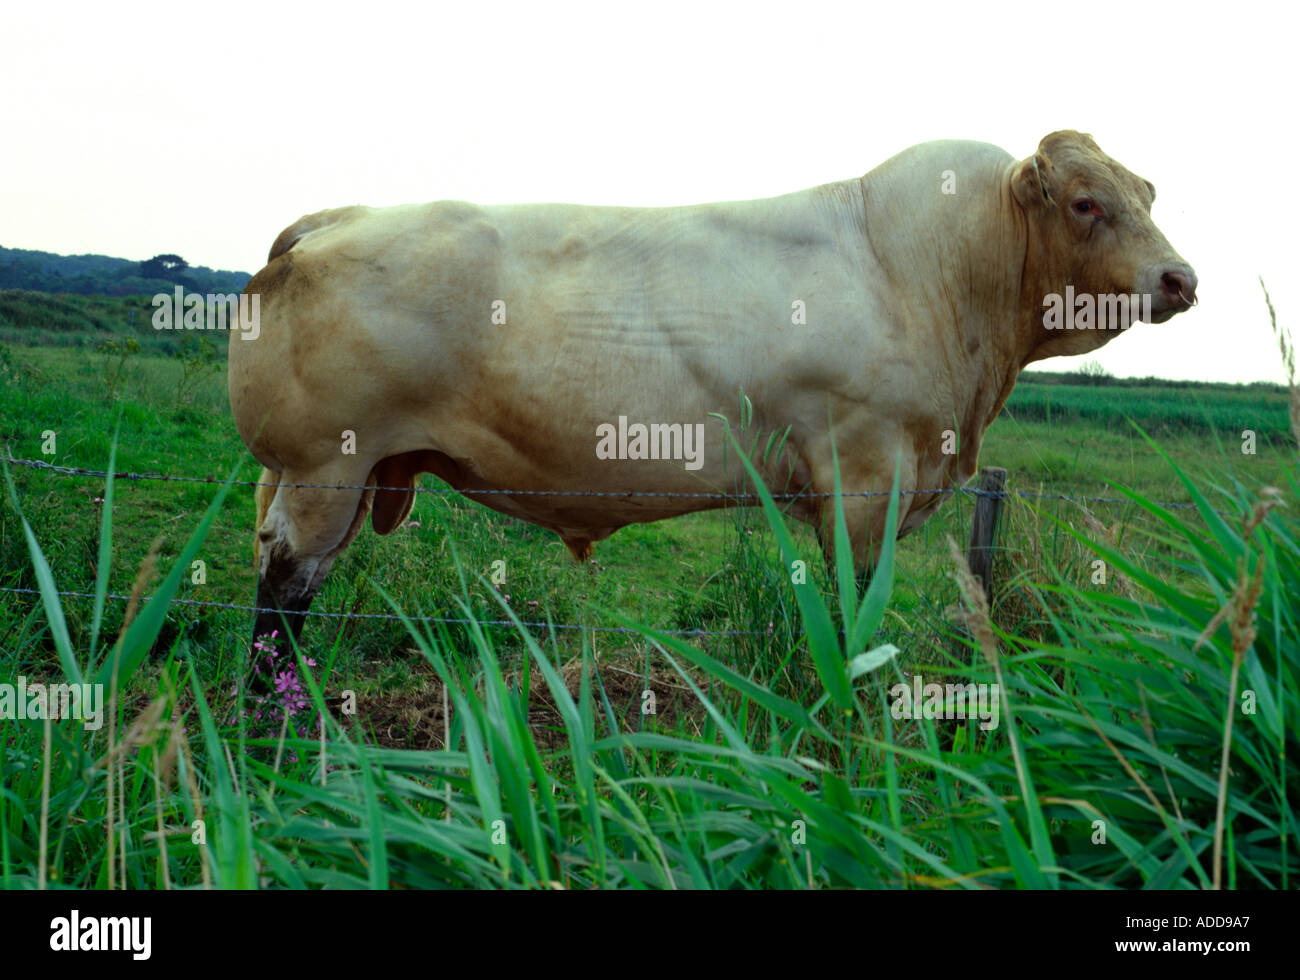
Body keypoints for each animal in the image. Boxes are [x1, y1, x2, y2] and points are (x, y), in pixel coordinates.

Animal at [228, 130, 1197, 645]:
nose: (1180, 278)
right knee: (286, 584)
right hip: (325, 465)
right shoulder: (865, 476)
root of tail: (335, 218)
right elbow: (854, 616)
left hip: (324, 471)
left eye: (1149, 194)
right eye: (1086, 202)